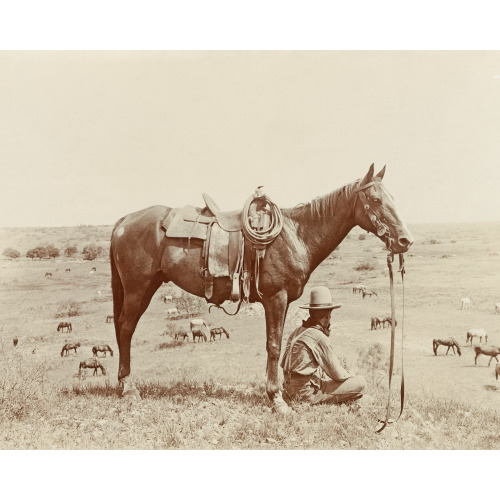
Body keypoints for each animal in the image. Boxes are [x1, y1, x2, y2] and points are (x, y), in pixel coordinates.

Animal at [110, 165, 414, 414]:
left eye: (393, 198)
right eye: (375, 200)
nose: (404, 240)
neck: (296, 235)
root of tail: (124, 221)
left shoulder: (284, 301)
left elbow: (278, 344)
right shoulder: (275, 298)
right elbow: (274, 346)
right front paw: (276, 399)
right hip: (138, 290)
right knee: (125, 329)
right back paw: (128, 388)